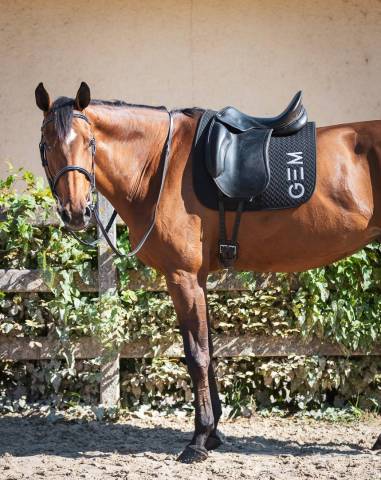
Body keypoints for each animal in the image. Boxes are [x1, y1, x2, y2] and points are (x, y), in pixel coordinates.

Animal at [35, 81, 380, 462]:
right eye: (46, 143)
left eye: (89, 141)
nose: (76, 212)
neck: (159, 164)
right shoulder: (196, 278)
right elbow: (208, 350)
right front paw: (213, 433)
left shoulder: (182, 277)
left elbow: (196, 355)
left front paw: (198, 439)